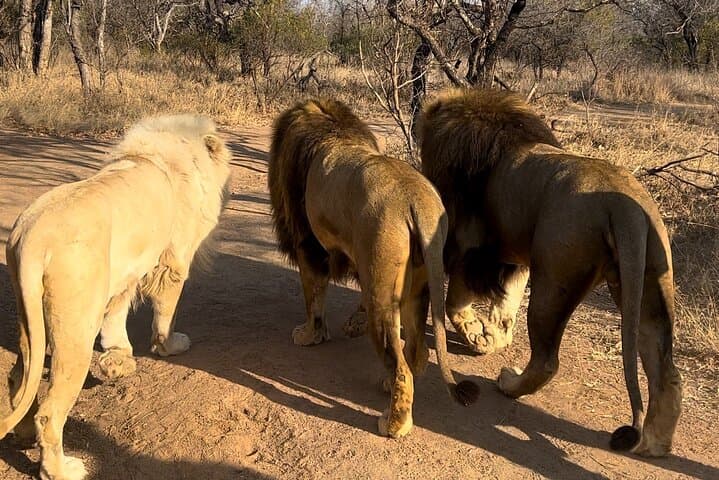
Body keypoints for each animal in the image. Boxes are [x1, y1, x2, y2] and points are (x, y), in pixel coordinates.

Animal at [0, 115, 231, 480]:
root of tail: (33, 236)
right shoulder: (173, 261)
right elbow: (166, 312)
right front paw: (169, 345)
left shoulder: (124, 270)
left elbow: (117, 312)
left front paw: (117, 359)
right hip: (75, 325)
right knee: (50, 411)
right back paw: (62, 469)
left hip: (30, 318)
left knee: (19, 377)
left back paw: (22, 436)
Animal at [268, 99, 478, 438]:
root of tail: (415, 199)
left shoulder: (308, 245)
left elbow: (313, 297)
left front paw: (310, 335)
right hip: (419, 283)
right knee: (418, 352)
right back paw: (387, 386)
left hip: (382, 288)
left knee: (401, 364)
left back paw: (393, 424)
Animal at [418, 88, 682, 457]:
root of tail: (624, 207)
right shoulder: (513, 254)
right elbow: (506, 306)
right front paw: (492, 335)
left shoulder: (471, 243)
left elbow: (457, 297)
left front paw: (476, 335)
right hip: (651, 281)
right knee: (667, 371)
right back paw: (654, 445)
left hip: (554, 279)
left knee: (546, 360)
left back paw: (508, 383)